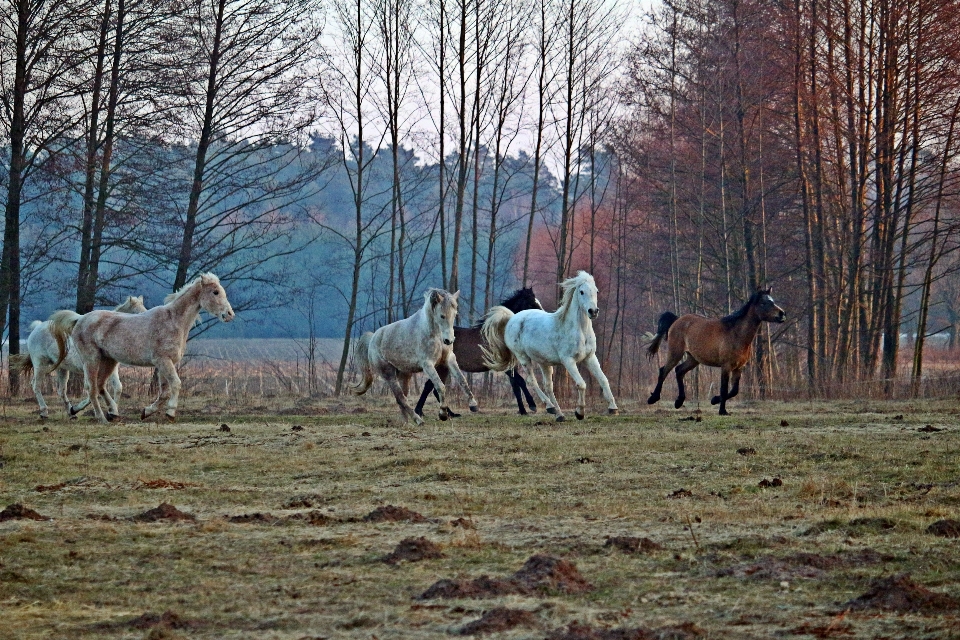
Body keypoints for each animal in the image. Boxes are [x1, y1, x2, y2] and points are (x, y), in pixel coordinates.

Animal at [10, 296, 148, 420]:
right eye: (136, 313)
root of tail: (36, 328)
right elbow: (92, 388)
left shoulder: (111, 369)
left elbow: (117, 387)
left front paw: (112, 412)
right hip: (41, 365)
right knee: (36, 385)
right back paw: (44, 412)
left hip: (62, 369)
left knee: (61, 391)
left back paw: (71, 414)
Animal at [49, 272, 235, 422]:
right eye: (215, 292)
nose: (229, 315)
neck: (173, 321)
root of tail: (79, 319)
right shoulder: (163, 361)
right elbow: (176, 384)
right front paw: (170, 414)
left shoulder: (164, 364)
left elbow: (164, 392)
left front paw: (147, 412)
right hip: (91, 360)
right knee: (92, 388)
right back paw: (101, 418)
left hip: (109, 361)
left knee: (101, 386)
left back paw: (110, 413)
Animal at [350, 290, 474, 424]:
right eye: (442, 316)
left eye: (455, 314)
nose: (449, 340)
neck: (433, 334)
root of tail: (372, 339)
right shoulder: (428, 364)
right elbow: (440, 386)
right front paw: (443, 414)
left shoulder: (449, 359)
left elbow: (462, 380)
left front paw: (473, 405)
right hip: (389, 375)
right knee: (401, 398)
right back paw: (418, 420)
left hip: (405, 375)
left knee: (402, 399)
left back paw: (406, 422)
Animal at [414, 286, 544, 418]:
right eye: (531, 303)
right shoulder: (504, 367)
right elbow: (521, 381)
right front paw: (532, 406)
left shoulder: (511, 366)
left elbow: (516, 386)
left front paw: (523, 410)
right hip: (441, 367)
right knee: (431, 387)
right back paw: (422, 411)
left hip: (444, 367)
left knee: (433, 388)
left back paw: (449, 413)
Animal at [644, 288, 788, 416]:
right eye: (764, 303)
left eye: (773, 301)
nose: (782, 314)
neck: (736, 334)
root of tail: (677, 320)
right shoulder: (726, 367)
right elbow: (724, 389)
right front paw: (722, 411)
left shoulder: (738, 368)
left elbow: (734, 391)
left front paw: (714, 400)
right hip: (675, 353)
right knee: (664, 371)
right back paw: (653, 398)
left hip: (693, 359)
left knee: (679, 371)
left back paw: (678, 402)